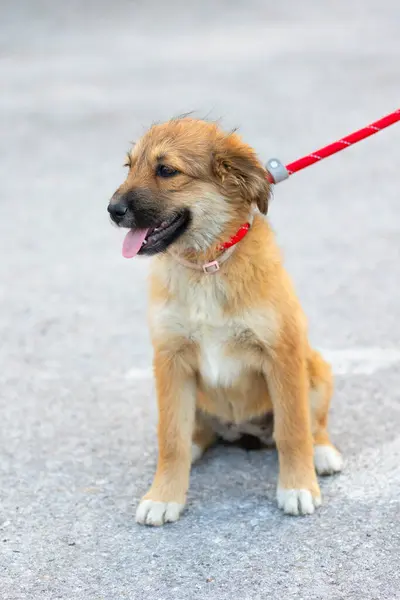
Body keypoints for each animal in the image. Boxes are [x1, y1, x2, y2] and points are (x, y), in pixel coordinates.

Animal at [108, 117, 342, 524]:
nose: (111, 209)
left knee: (315, 424)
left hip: (317, 366)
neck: (207, 266)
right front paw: (164, 496)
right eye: (129, 166)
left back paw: (323, 452)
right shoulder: (170, 360)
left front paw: (297, 487)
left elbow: (293, 430)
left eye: (166, 170)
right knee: (192, 433)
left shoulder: (282, 354)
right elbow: (170, 438)